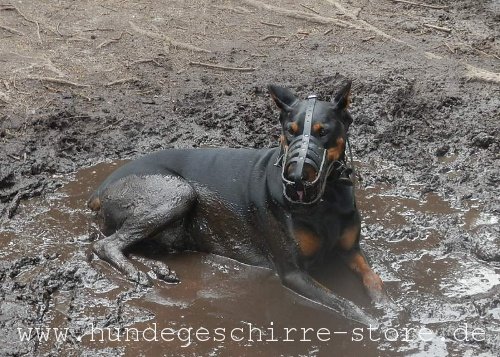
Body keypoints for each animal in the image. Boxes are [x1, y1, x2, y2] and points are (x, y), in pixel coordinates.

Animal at [88, 82, 384, 324]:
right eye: (290, 131)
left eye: (323, 132)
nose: (295, 177)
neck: (326, 199)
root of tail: (100, 189)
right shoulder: (293, 272)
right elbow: (343, 303)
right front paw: (376, 324)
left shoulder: (351, 250)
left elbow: (375, 279)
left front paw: (387, 306)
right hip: (177, 192)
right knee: (106, 244)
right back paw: (136, 272)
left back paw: (160, 268)